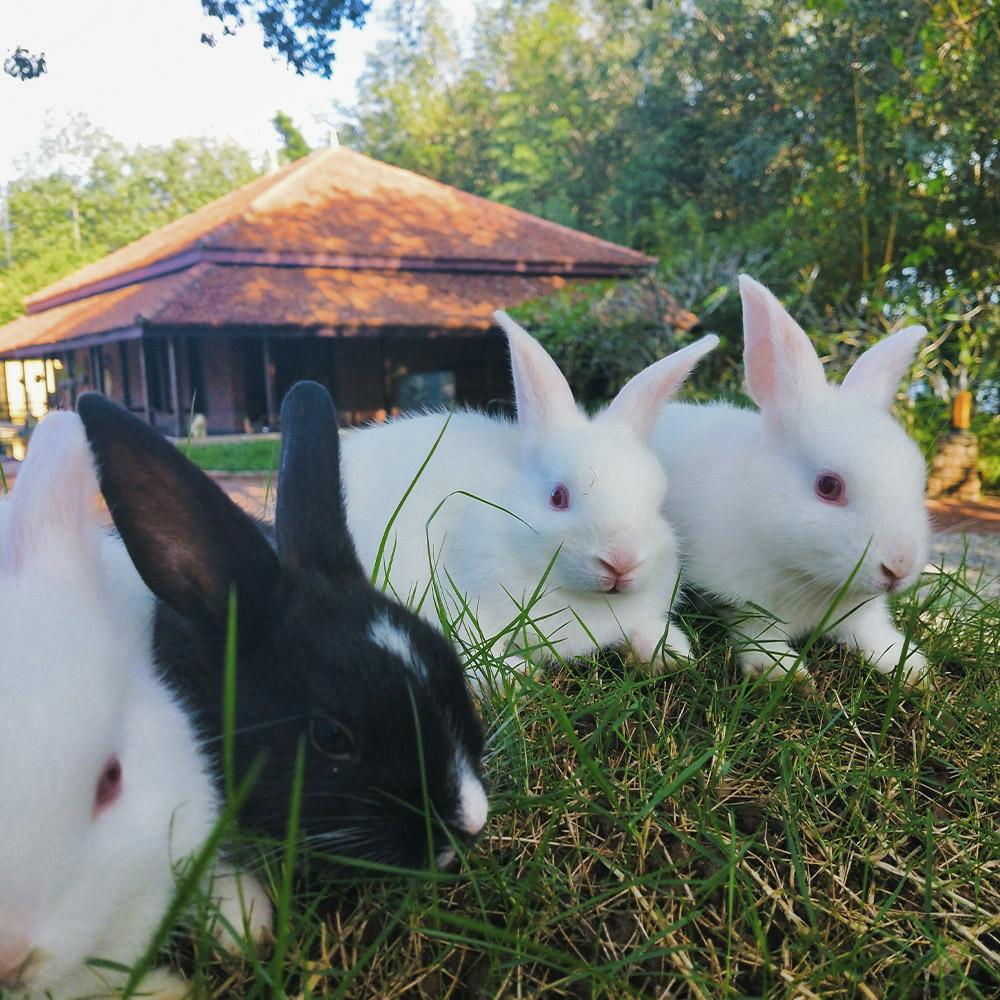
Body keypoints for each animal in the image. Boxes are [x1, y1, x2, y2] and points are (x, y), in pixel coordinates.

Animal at [339, 313, 719, 683]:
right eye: (558, 497)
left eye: (657, 502)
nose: (621, 562)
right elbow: (473, 645)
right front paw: (518, 677)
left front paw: (672, 654)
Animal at [651, 275, 931, 687]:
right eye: (828, 486)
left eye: (918, 480)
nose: (899, 566)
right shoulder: (745, 600)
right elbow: (756, 632)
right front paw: (783, 672)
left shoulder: (861, 613)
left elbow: (870, 631)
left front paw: (909, 666)